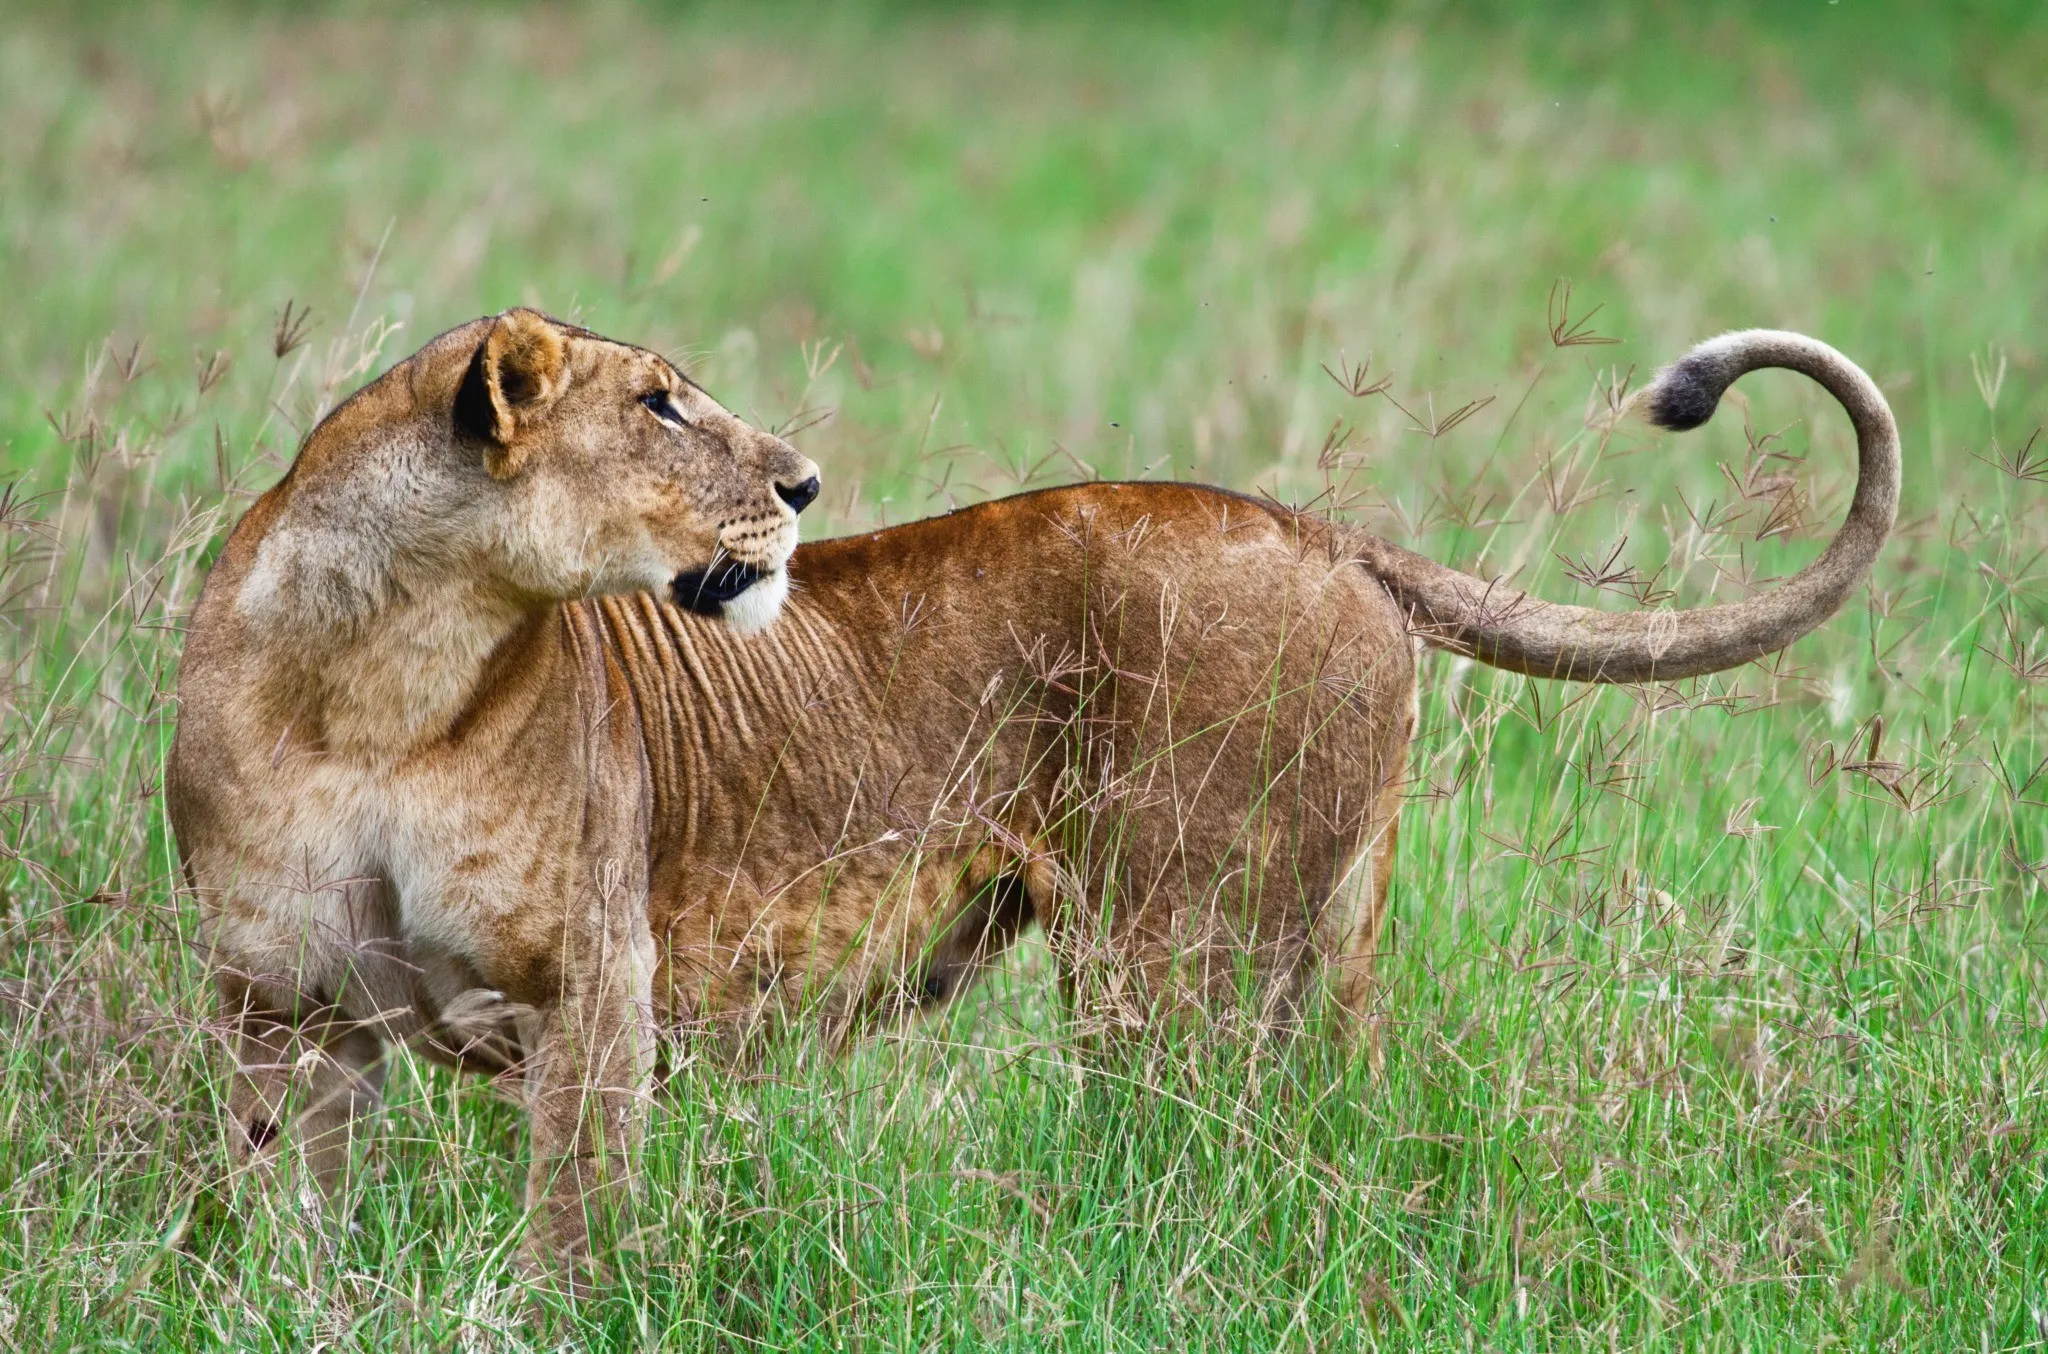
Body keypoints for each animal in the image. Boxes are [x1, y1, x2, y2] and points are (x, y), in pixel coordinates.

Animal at [168, 309, 1897, 1277]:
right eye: (659, 403)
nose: (802, 483)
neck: (381, 677)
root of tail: (1325, 532)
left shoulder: (597, 988)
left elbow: (571, 1236)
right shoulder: (283, 1006)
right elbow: (285, 1228)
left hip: (1171, 956)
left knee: (1209, 1157)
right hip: (1323, 945)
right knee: (1334, 1136)